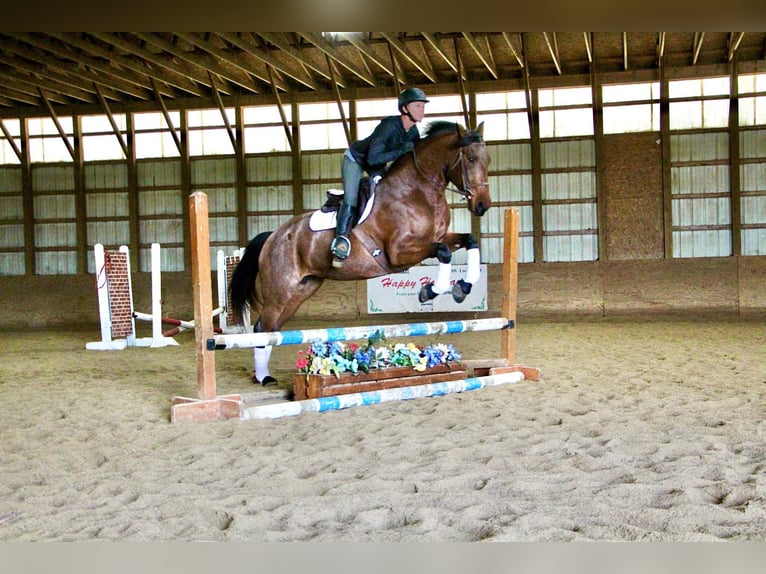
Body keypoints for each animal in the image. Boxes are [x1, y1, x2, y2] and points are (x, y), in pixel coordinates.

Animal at [230, 119, 492, 384]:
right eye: (470, 159)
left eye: (488, 159)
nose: (482, 205)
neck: (417, 192)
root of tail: (273, 236)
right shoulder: (399, 253)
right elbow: (444, 253)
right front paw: (430, 291)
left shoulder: (438, 238)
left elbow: (469, 241)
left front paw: (462, 288)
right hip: (280, 290)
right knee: (262, 328)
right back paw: (263, 377)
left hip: (301, 290)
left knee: (272, 329)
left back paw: (264, 375)